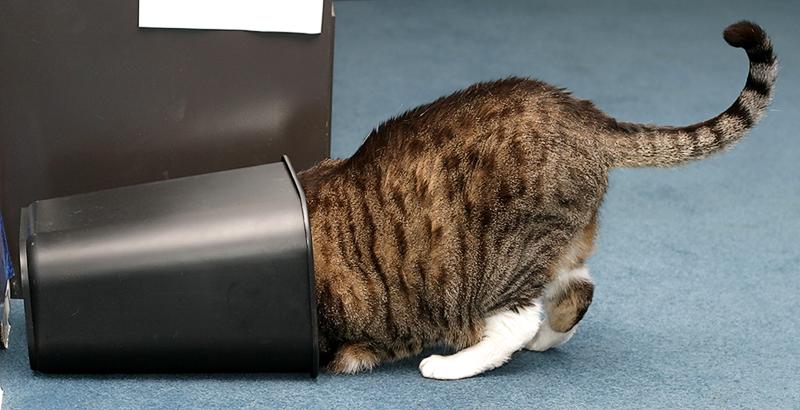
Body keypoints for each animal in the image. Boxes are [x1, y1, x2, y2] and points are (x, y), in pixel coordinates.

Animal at [297, 21, 777, 380]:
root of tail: (586, 118)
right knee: (578, 289)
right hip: (557, 242)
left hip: (500, 261)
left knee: (517, 321)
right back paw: (545, 338)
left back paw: (450, 364)